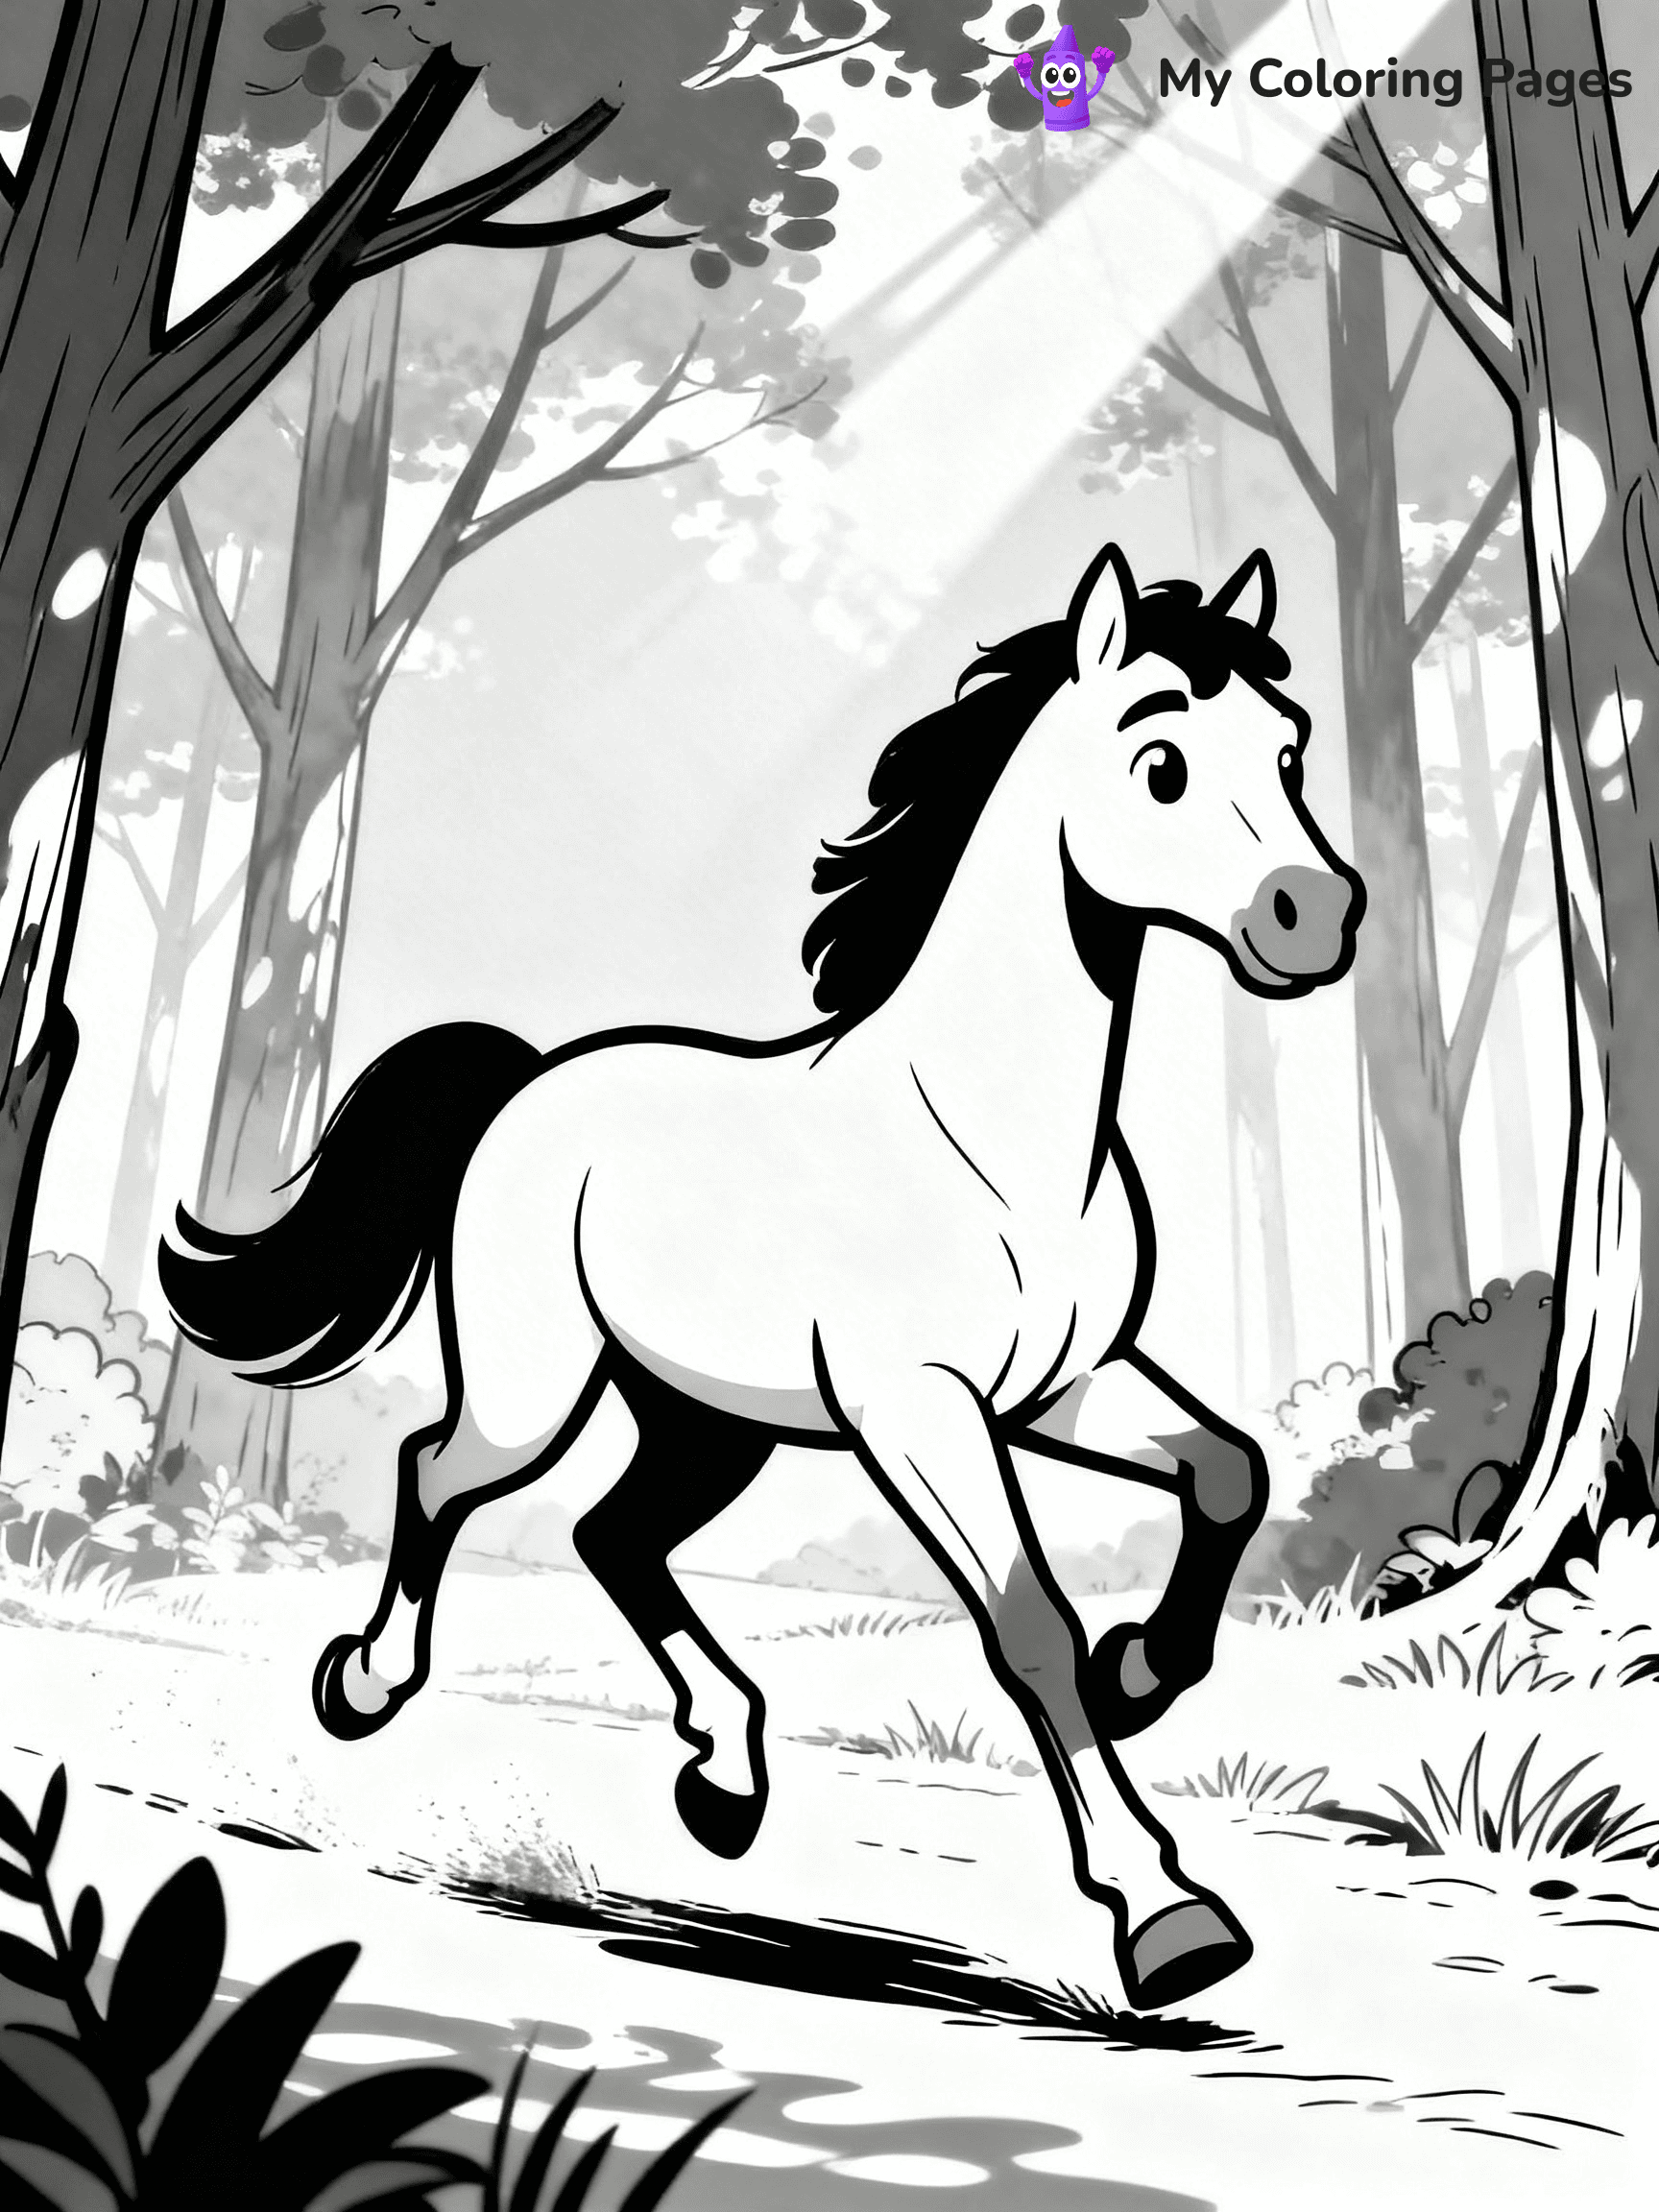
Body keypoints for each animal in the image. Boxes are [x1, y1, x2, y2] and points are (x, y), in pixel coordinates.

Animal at [163, 540, 1363, 2011]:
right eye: (1161, 763)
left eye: (1292, 748)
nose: (1317, 917)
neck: (990, 1131)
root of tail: (532, 1079)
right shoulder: (922, 1411)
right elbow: (1027, 1621)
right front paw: (1168, 1914)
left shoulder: (1059, 1390)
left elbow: (1230, 1471)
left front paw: (1143, 1670)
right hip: (537, 1388)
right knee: (440, 1473)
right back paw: (366, 1686)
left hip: (709, 1419)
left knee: (609, 1535)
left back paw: (726, 1778)